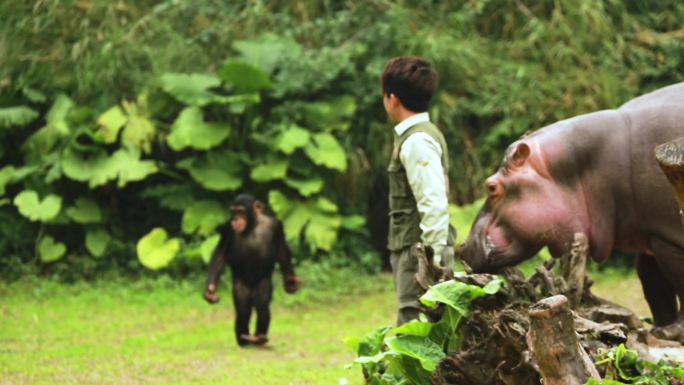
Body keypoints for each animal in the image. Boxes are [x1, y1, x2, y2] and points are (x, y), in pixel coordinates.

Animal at [203, 194, 300, 346]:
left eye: (241, 211)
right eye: (233, 212)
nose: (236, 218)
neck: (252, 225)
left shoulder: (276, 226)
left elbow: (281, 249)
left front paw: (290, 283)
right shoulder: (228, 229)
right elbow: (221, 253)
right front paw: (210, 290)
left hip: (263, 283)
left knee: (262, 307)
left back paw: (259, 338)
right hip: (241, 285)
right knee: (243, 310)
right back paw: (243, 339)